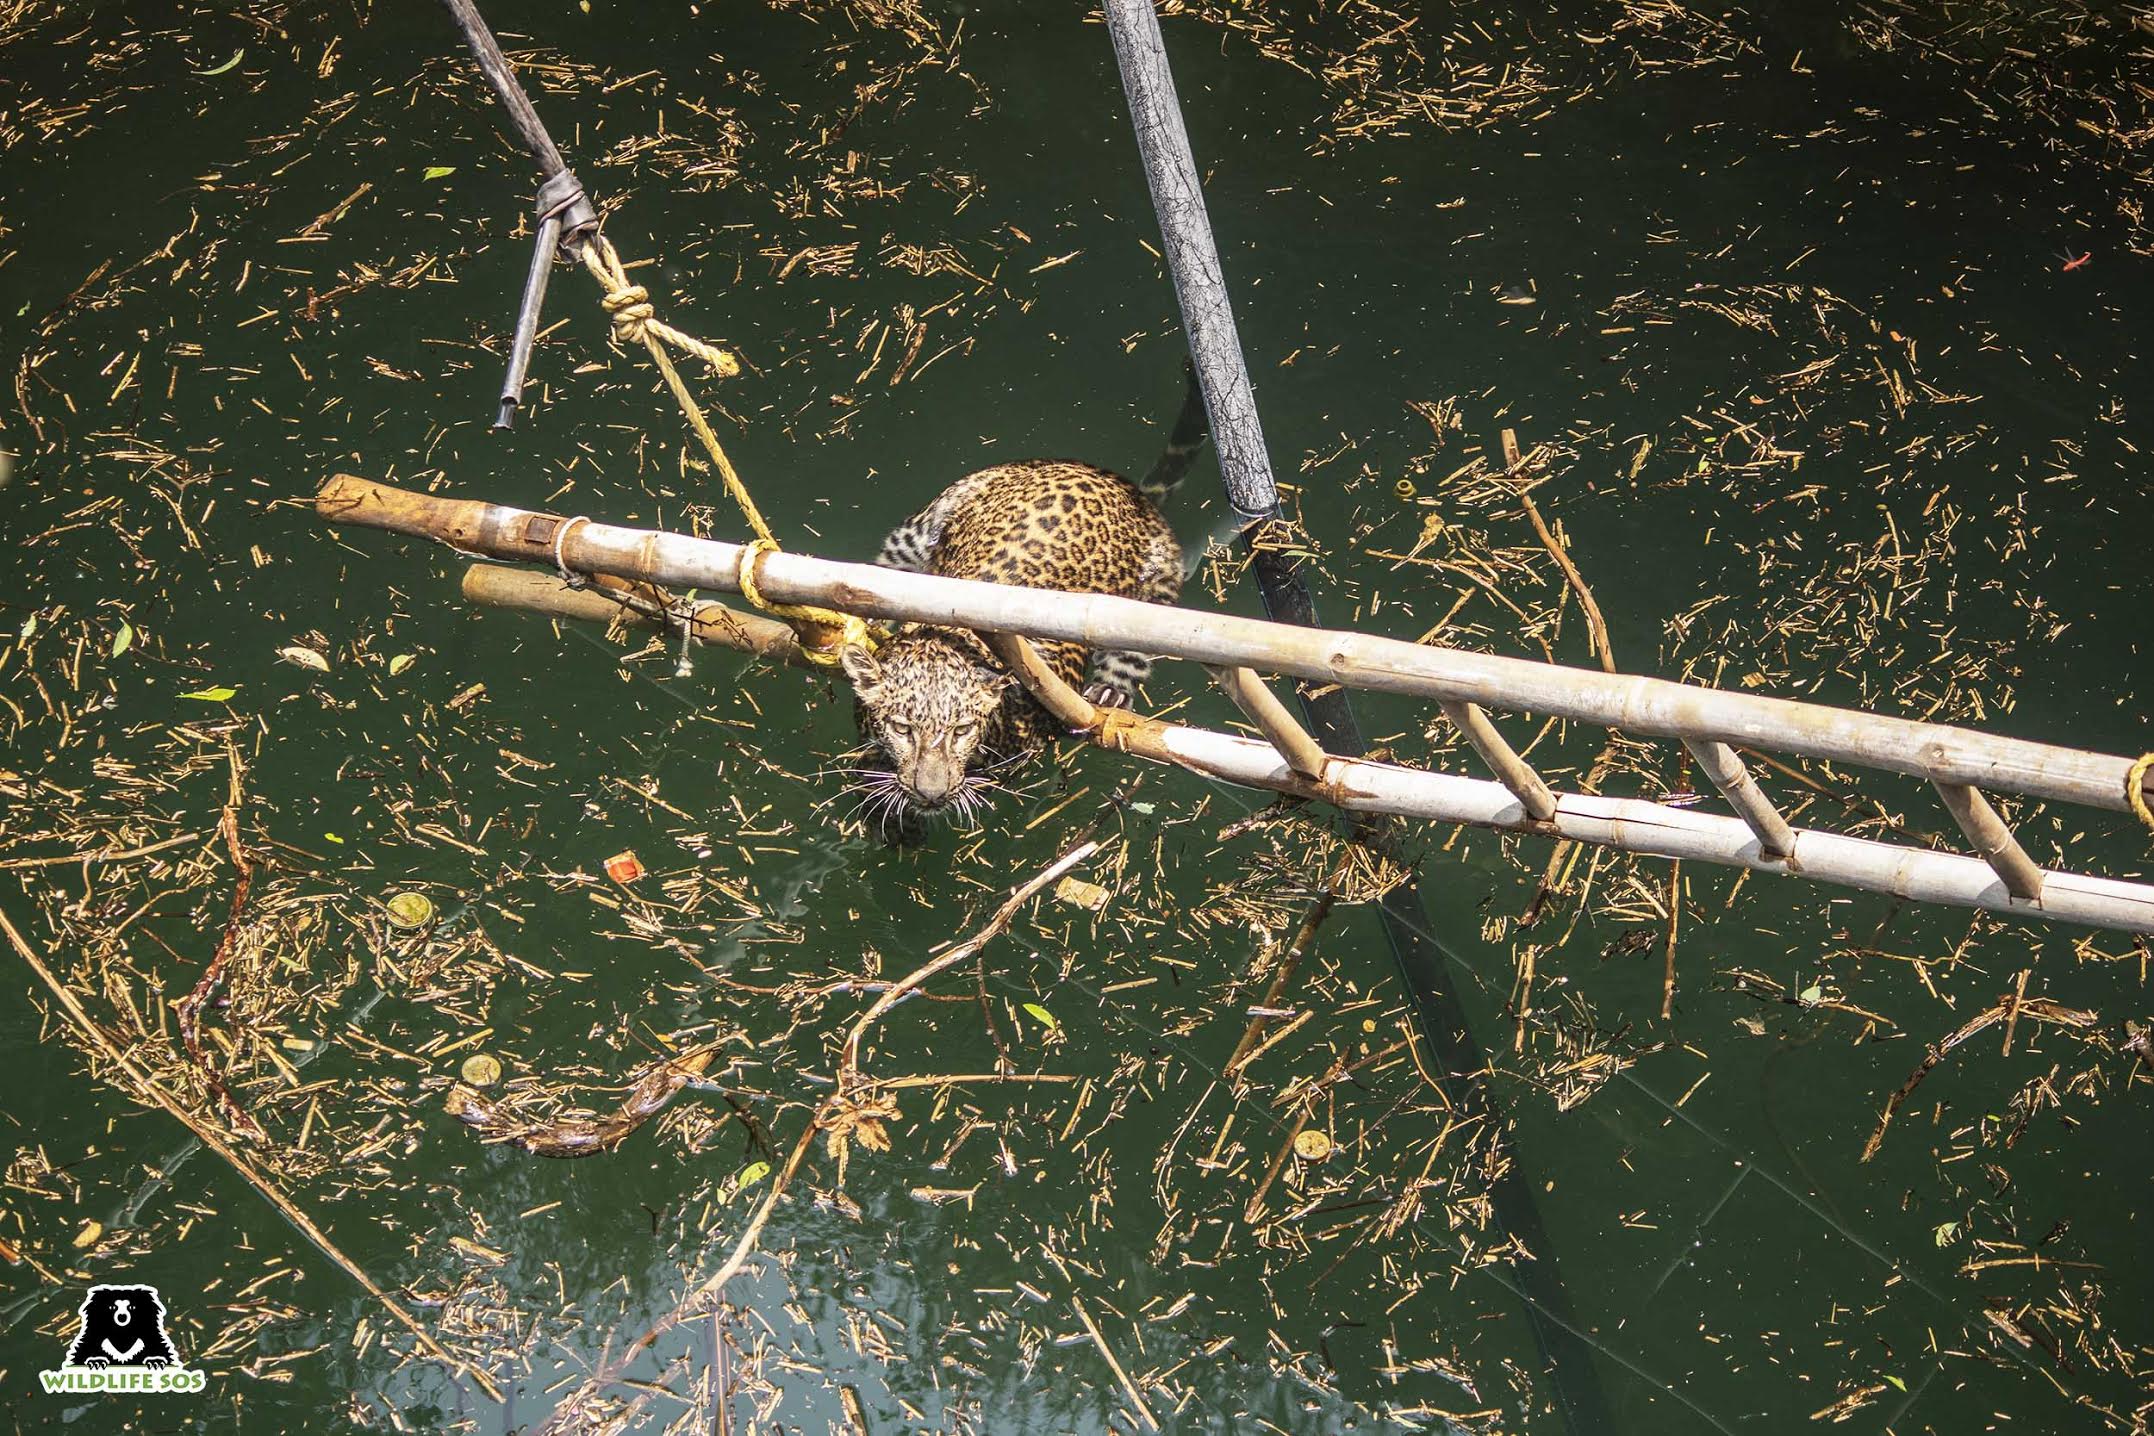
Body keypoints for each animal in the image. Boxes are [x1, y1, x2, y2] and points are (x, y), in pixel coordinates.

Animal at [839, 373, 1206, 832]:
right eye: (902, 728)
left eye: (962, 730)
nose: (932, 794)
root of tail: (1122, 485)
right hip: (919, 529)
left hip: (1157, 582)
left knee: (1132, 654)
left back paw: (1109, 693)